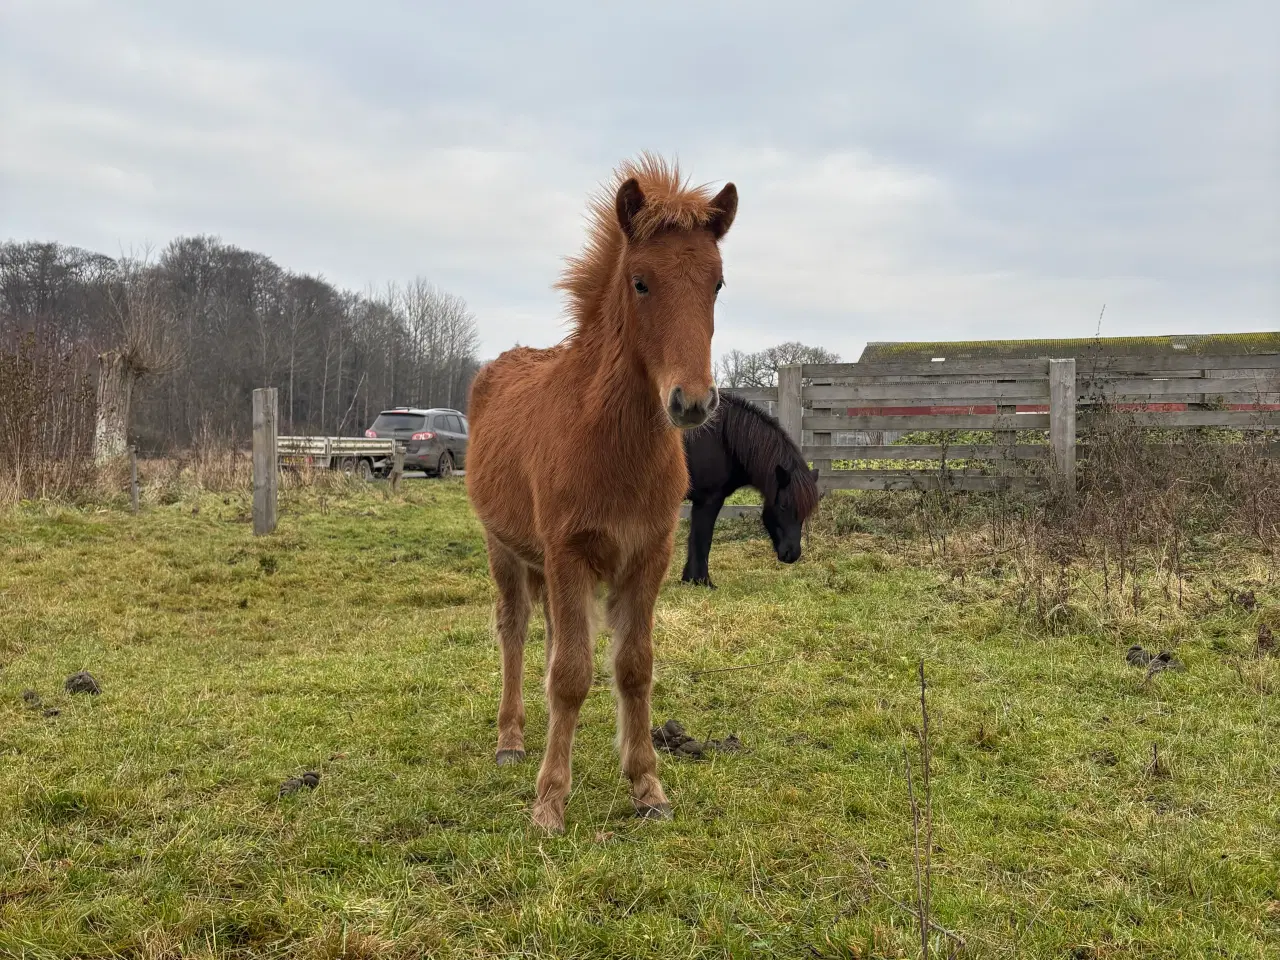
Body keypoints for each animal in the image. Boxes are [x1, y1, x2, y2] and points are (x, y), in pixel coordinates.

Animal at [465, 158, 737, 834]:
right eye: (640, 283)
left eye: (718, 284)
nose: (692, 402)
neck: (609, 443)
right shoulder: (570, 553)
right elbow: (570, 675)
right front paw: (549, 802)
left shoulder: (647, 556)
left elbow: (632, 667)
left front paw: (647, 786)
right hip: (504, 548)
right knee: (514, 629)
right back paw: (511, 740)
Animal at [680, 391, 819, 586]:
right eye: (783, 505)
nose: (792, 555)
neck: (722, 439)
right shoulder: (708, 500)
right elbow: (702, 540)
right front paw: (702, 581)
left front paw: (689, 580)